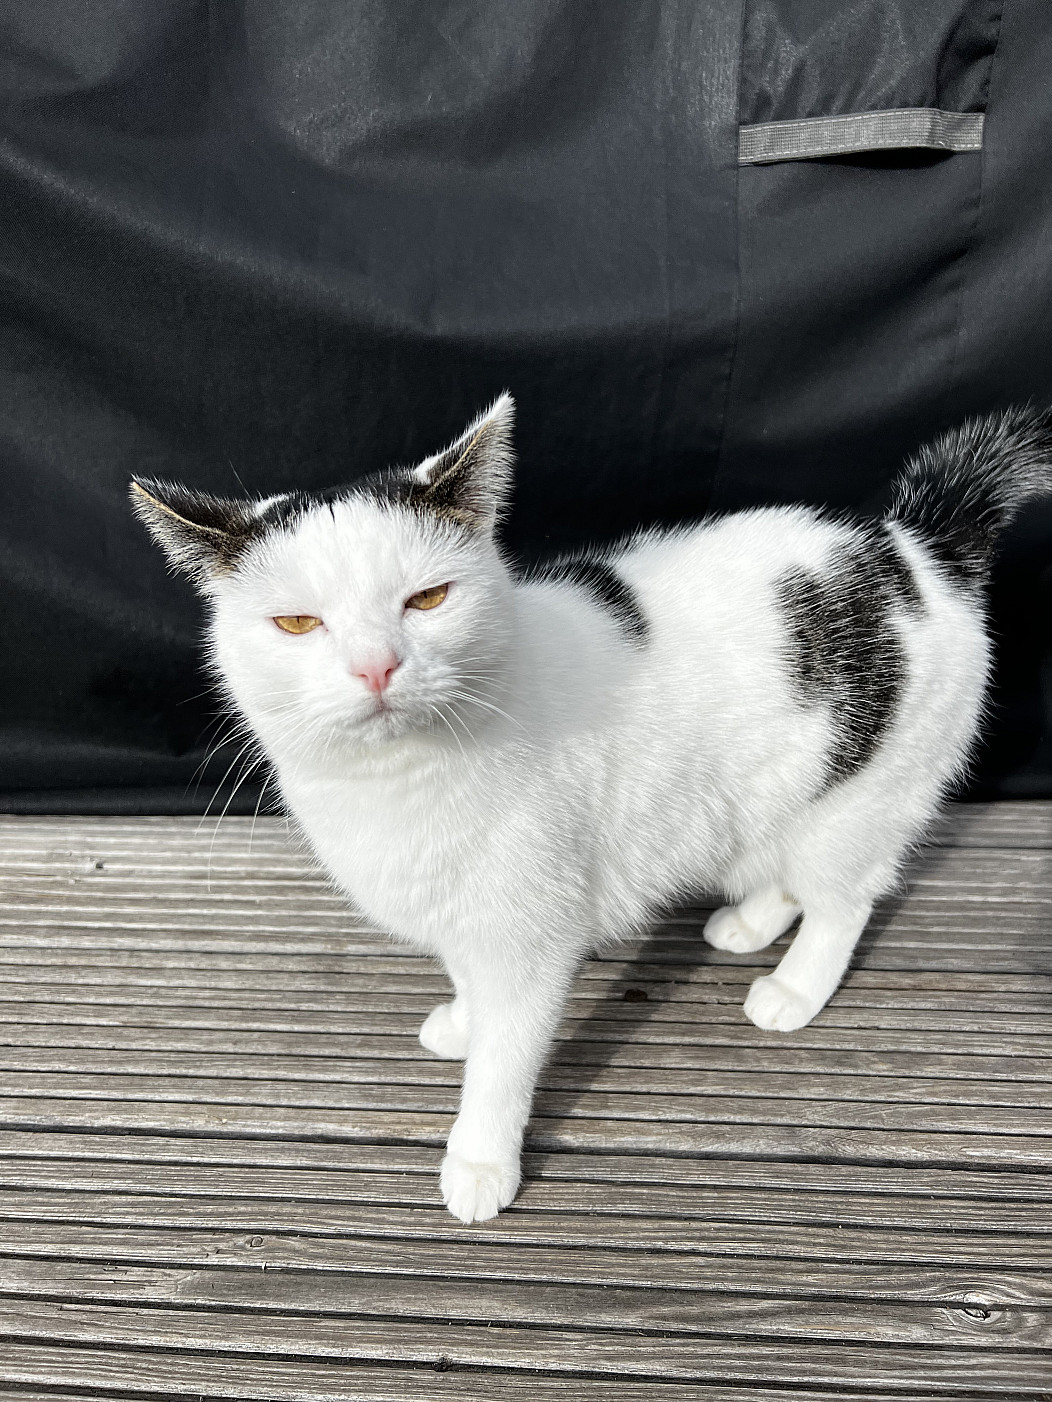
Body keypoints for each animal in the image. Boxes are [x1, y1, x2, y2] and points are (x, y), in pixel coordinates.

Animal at [131, 397, 1052, 1222]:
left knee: (845, 899)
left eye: (427, 601)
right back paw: (749, 922)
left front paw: (480, 1161)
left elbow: (506, 1060)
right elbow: (467, 980)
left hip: (862, 797)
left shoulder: (530, 935)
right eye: (296, 623)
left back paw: (794, 988)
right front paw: (463, 1019)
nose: (376, 667)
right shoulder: (466, 913)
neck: (403, 782)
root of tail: (915, 547)